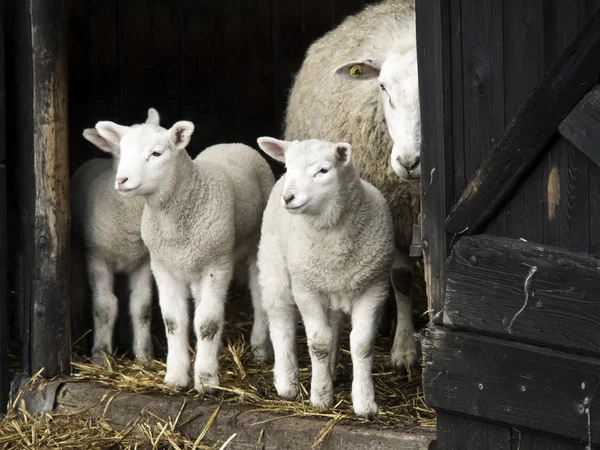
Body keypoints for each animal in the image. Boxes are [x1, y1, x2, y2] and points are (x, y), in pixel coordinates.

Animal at [71, 110, 159, 366]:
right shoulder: (98, 258)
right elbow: (105, 305)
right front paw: (101, 355)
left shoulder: (143, 261)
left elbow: (141, 305)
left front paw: (144, 355)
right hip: (77, 250)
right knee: (77, 294)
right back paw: (79, 342)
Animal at [95, 110, 276, 392]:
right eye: (121, 151)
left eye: (156, 153)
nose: (122, 181)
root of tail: (233, 143)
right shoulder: (163, 266)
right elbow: (174, 321)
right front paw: (176, 377)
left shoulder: (218, 265)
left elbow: (208, 323)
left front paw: (207, 380)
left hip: (254, 244)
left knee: (258, 295)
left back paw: (259, 348)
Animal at [256, 136, 394, 418]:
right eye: (288, 167)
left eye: (323, 171)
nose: (289, 197)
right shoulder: (306, 289)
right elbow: (318, 343)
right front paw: (320, 396)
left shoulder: (374, 287)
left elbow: (362, 344)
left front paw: (365, 402)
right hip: (275, 264)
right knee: (281, 319)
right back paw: (287, 381)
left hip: (333, 286)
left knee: (334, 325)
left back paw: (330, 370)